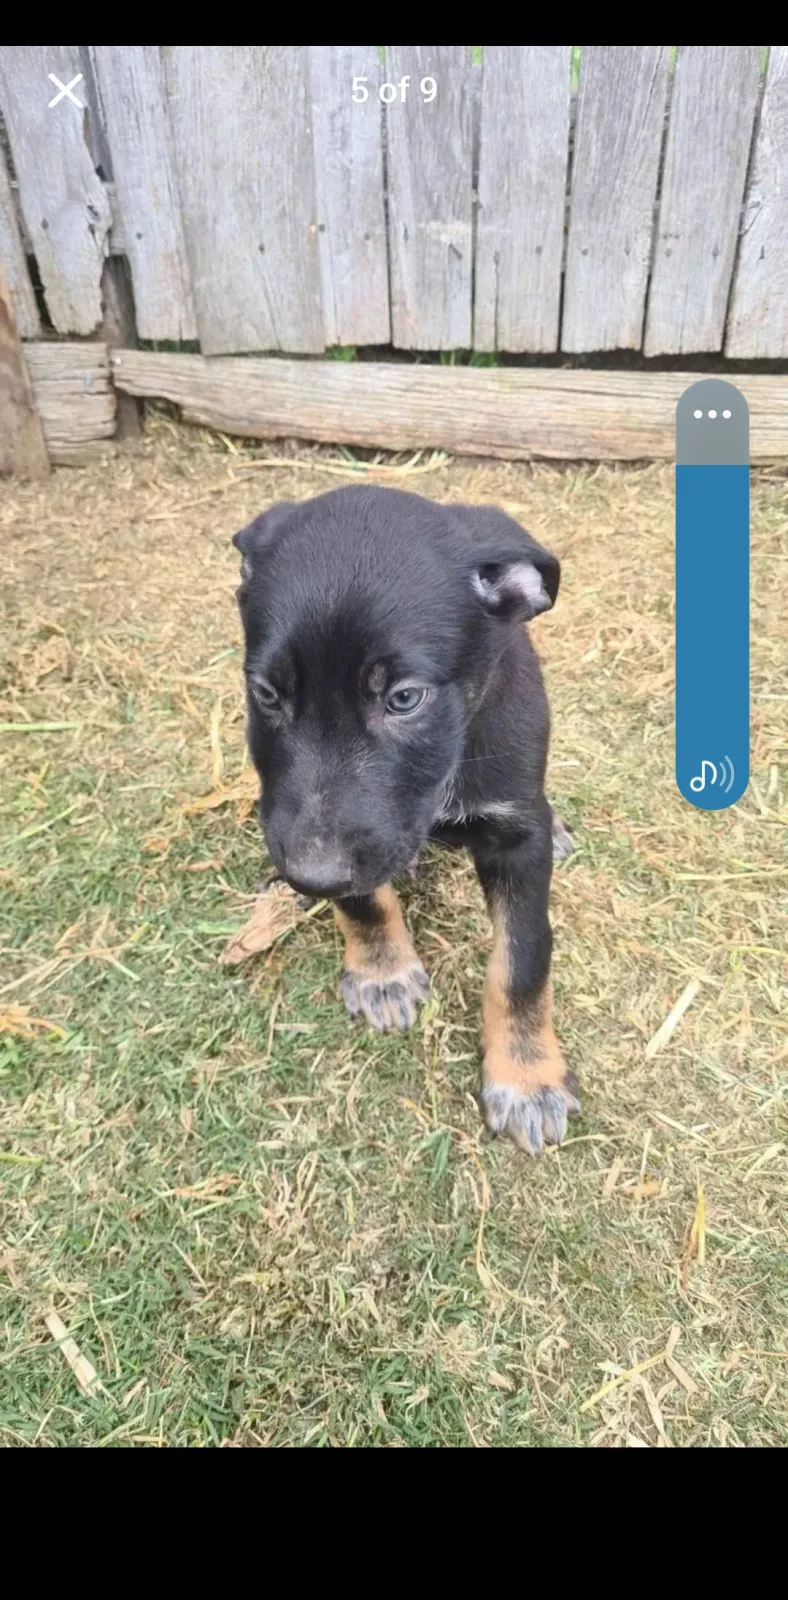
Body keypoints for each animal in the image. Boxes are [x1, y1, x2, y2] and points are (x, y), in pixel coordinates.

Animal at [233, 486, 579, 1155]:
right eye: (266, 695)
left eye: (404, 698)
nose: (310, 878)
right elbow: (363, 898)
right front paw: (381, 971)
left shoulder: (516, 833)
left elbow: (522, 959)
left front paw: (526, 1077)